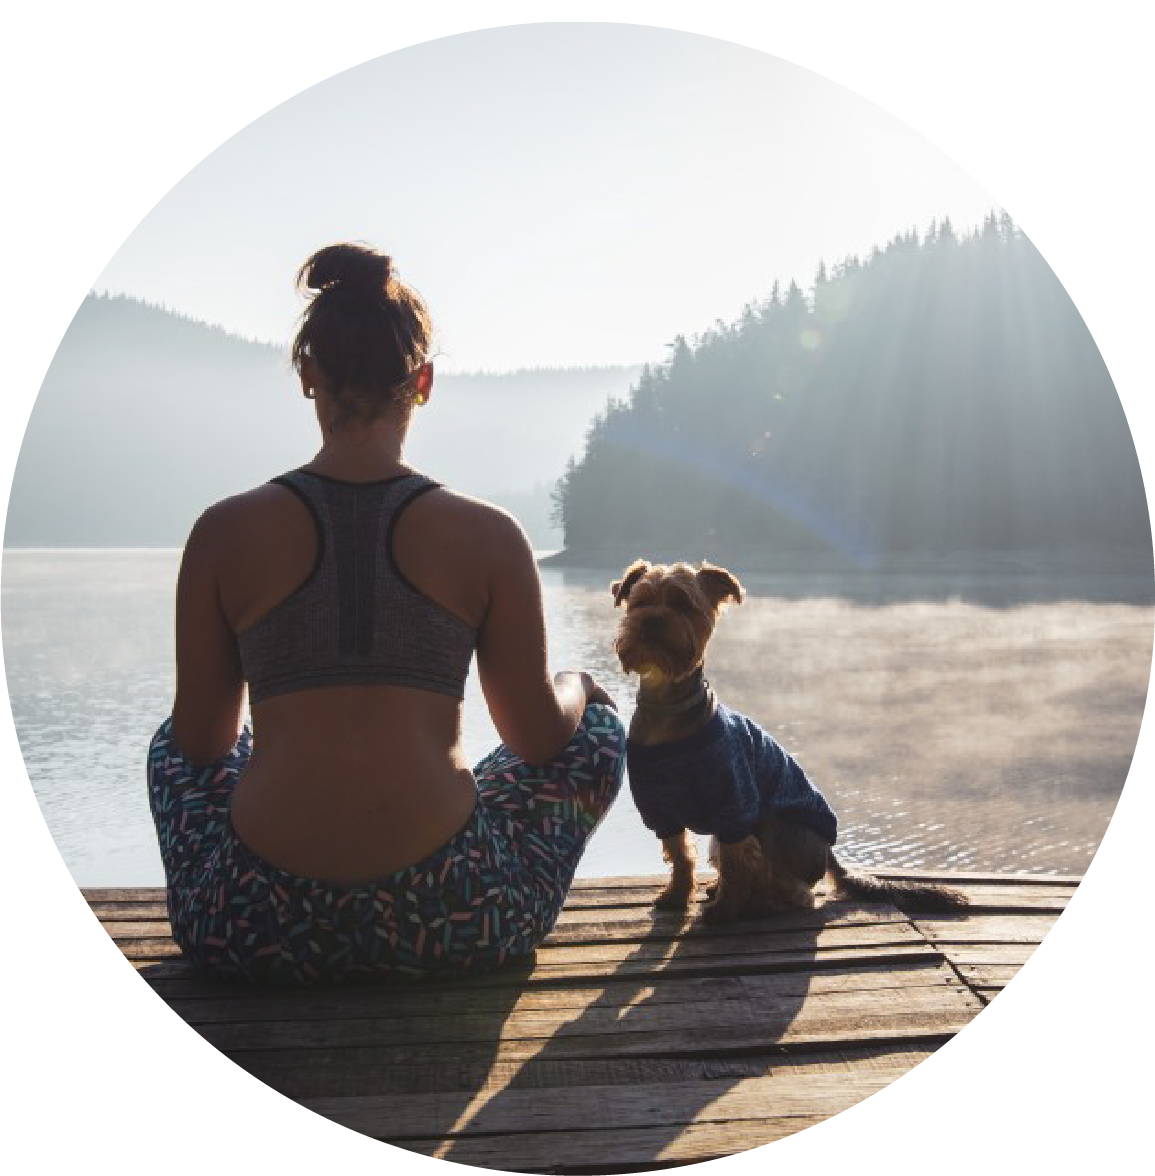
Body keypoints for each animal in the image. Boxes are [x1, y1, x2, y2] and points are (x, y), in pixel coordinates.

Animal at [611, 555, 973, 921]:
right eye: (639, 602)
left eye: (683, 604)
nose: (651, 621)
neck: (668, 710)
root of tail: (830, 853)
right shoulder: (661, 812)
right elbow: (682, 856)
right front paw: (677, 896)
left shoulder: (736, 807)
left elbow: (736, 863)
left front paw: (724, 910)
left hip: (776, 825)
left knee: (794, 890)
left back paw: (759, 902)